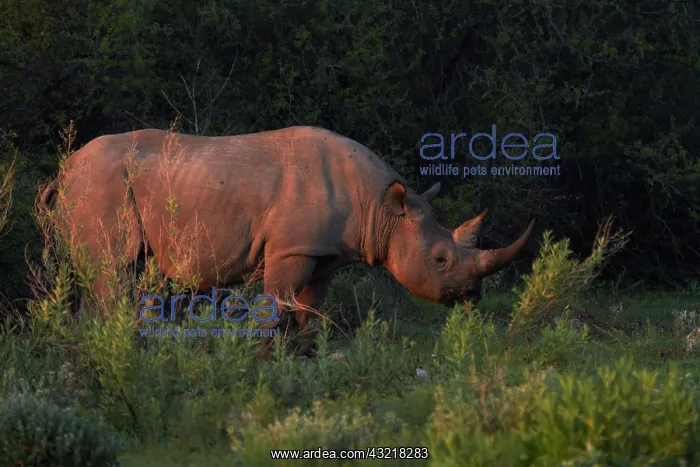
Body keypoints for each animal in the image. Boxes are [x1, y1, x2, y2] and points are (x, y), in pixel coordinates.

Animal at [40, 126, 534, 357]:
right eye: (440, 260)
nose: (472, 296)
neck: (382, 210)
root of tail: (63, 171)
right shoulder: (290, 249)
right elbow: (275, 309)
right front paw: (261, 364)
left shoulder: (323, 253)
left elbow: (310, 312)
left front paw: (305, 359)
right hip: (100, 186)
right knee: (114, 270)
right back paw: (123, 352)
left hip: (98, 186)